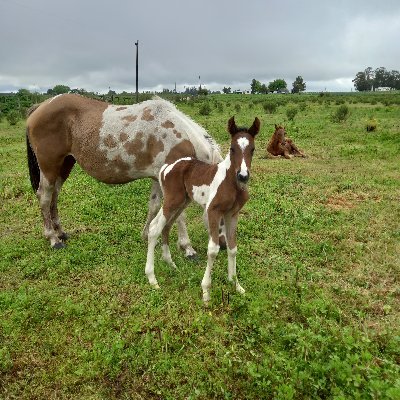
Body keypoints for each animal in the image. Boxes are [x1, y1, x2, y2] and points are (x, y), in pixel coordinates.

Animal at [25, 94, 222, 253]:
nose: (222, 245)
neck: (180, 138)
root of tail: (40, 106)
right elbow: (179, 214)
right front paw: (187, 248)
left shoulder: (158, 178)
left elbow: (154, 206)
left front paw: (147, 235)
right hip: (49, 166)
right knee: (44, 197)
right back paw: (53, 239)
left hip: (64, 165)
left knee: (54, 196)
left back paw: (60, 232)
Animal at [145, 115, 260, 304]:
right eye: (232, 148)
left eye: (252, 149)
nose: (243, 176)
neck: (230, 182)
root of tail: (166, 167)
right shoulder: (213, 211)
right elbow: (213, 250)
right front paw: (206, 291)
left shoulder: (232, 214)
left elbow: (232, 247)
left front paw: (236, 285)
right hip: (171, 201)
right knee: (154, 228)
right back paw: (152, 279)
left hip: (182, 202)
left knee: (166, 226)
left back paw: (170, 264)